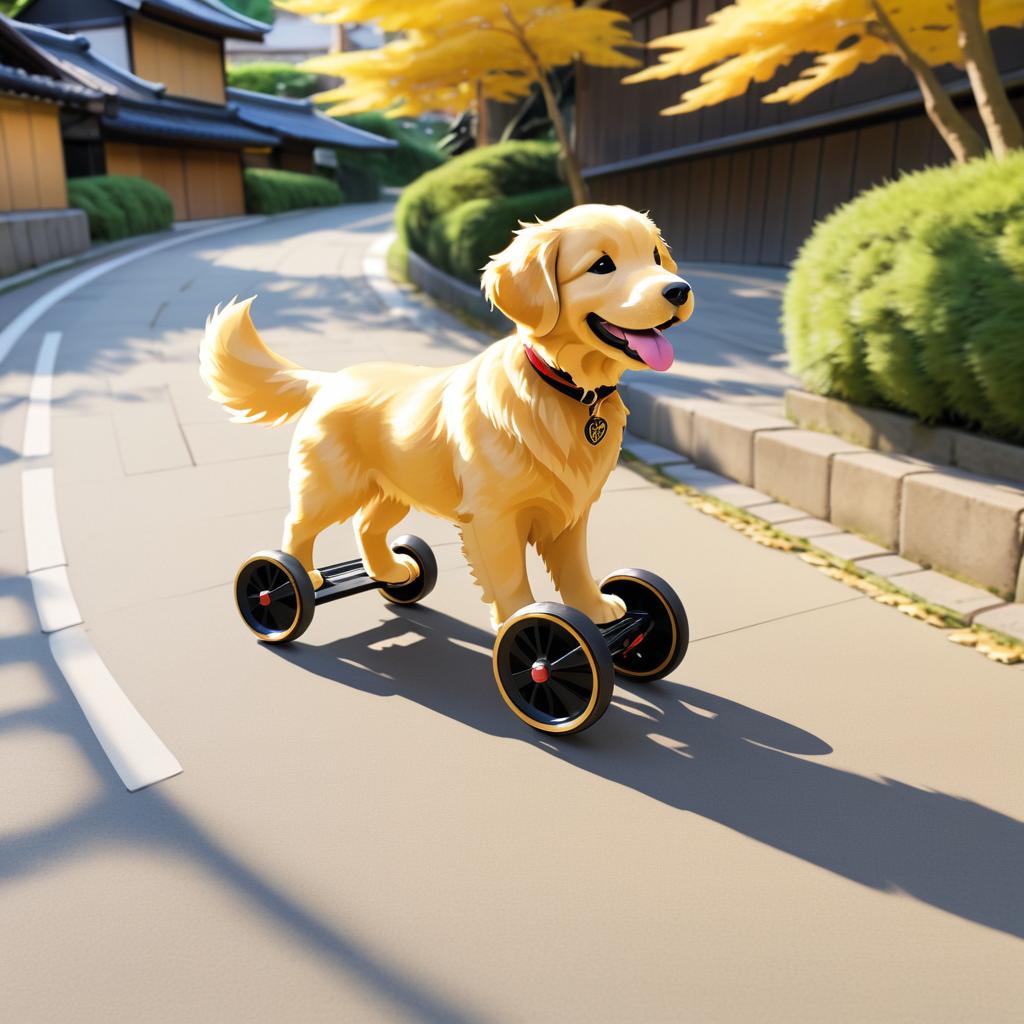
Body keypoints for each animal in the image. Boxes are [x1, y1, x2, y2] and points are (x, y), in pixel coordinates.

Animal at [197, 202, 696, 626]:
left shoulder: (571, 511)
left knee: (366, 526)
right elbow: (509, 578)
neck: (567, 390)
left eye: (655, 256)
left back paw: (390, 571)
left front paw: (596, 609)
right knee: (296, 526)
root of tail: (330, 379)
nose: (679, 289)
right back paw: (295, 580)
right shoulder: (494, 517)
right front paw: (524, 626)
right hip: (332, 485)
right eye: (602, 265)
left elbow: (575, 566)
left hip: (395, 487)